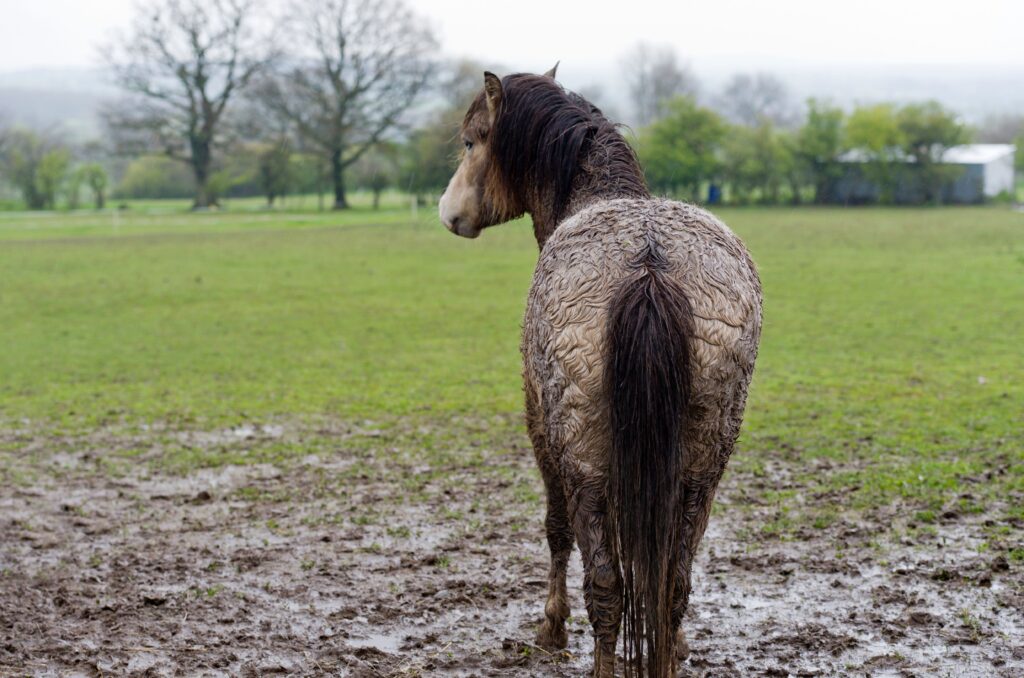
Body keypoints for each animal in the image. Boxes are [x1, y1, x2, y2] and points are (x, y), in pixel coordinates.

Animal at [438, 65, 761, 678]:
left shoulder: (540, 426)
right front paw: (679, 643)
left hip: (583, 457)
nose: (448, 211)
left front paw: (551, 625)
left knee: (607, 584)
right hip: (702, 467)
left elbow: (556, 528)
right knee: (673, 581)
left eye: (471, 141)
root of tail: (650, 266)